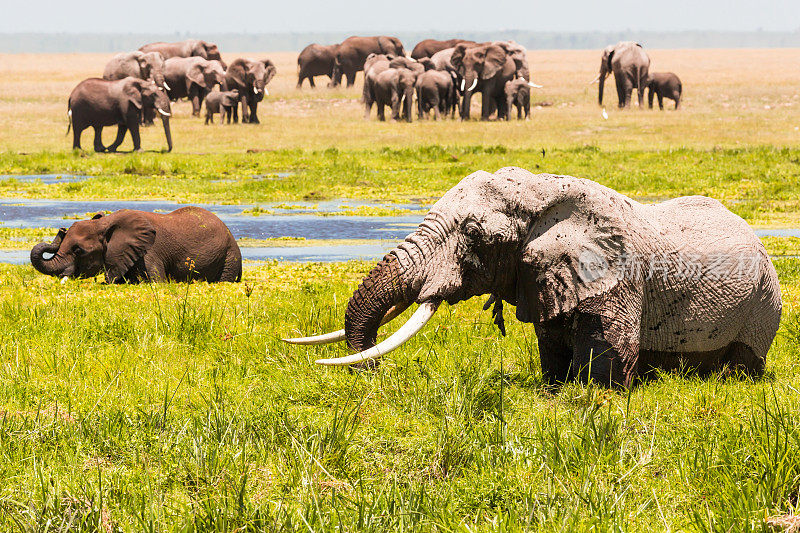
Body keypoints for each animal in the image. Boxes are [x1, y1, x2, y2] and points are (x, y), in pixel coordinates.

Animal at [288, 168, 780, 388]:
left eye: (475, 234)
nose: (373, 372)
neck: (541, 189)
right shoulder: (544, 277)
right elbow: (551, 344)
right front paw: (554, 387)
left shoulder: (618, 276)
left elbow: (611, 356)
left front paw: (591, 394)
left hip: (763, 304)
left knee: (744, 361)